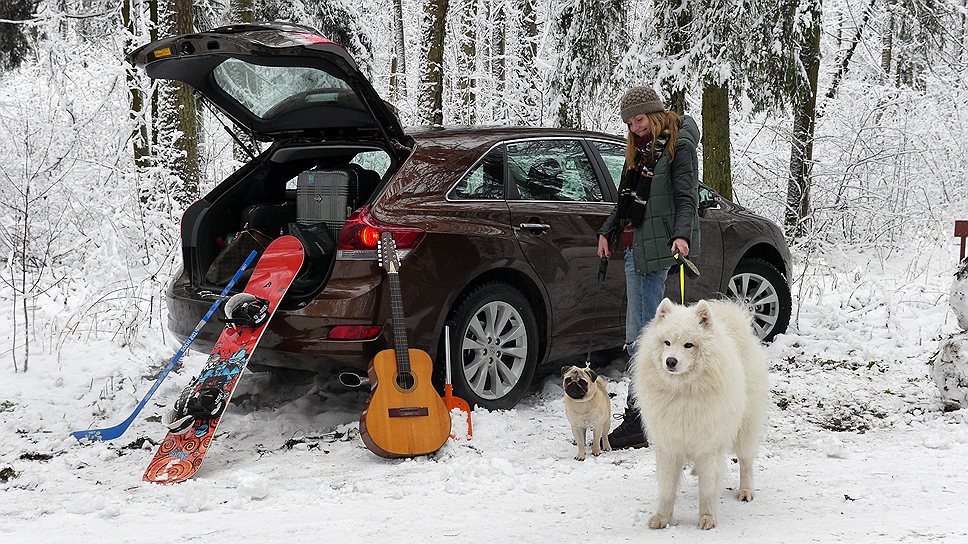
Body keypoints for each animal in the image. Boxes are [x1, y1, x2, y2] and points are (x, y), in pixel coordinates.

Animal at [628, 300, 772, 528]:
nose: (670, 361)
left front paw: (707, 517)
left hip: (745, 427)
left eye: (688, 345)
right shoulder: (669, 445)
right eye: (667, 343)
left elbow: (708, 488)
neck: (682, 393)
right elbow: (667, 488)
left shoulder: (708, 445)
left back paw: (746, 490)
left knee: (746, 461)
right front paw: (662, 517)